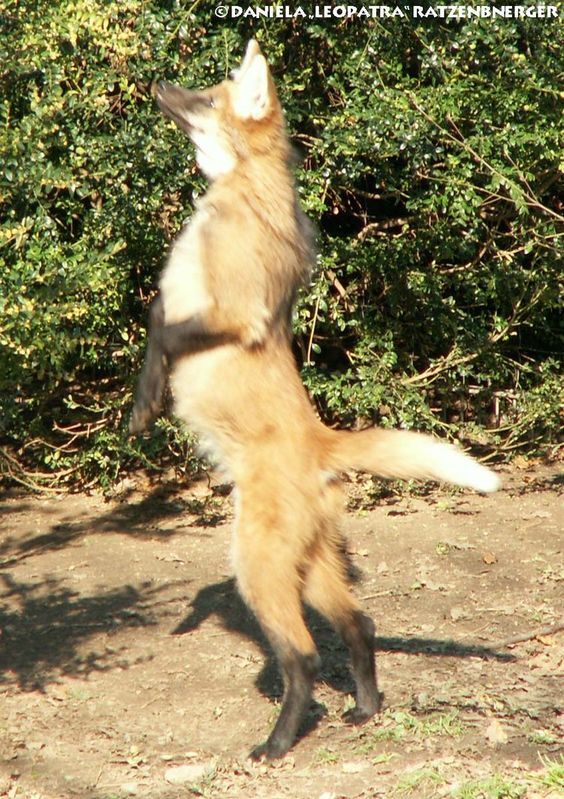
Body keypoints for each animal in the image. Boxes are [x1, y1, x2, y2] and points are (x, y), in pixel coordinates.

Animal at [130, 40, 499, 760]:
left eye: (204, 96)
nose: (157, 82)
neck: (237, 199)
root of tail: (323, 439)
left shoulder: (233, 316)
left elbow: (160, 325)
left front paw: (145, 402)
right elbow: (157, 312)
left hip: (257, 566)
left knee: (301, 656)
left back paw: (277, 743)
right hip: (312, 565)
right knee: (361, 624)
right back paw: (365, 706)